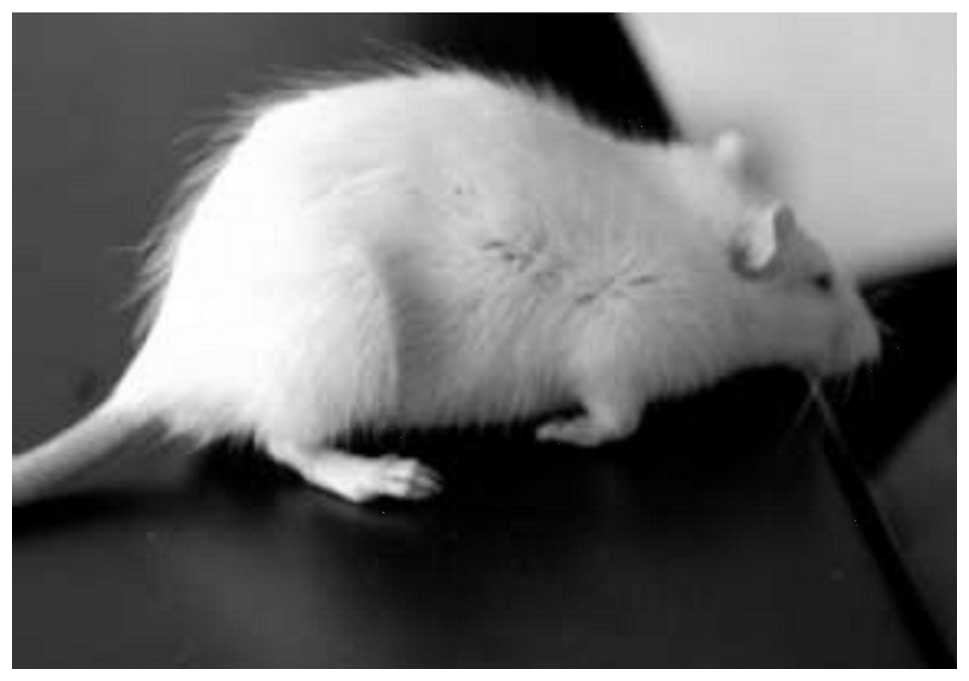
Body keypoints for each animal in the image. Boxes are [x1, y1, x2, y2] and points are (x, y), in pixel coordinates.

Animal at [12, 68, 881, 506]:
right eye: (820, 280)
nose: (876, 347)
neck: (696, 239)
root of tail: (166, 370)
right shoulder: (621, 347)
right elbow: (617, 419)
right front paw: (567, 431)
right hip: (341, 338)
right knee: (285, 441)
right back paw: (373, 475)